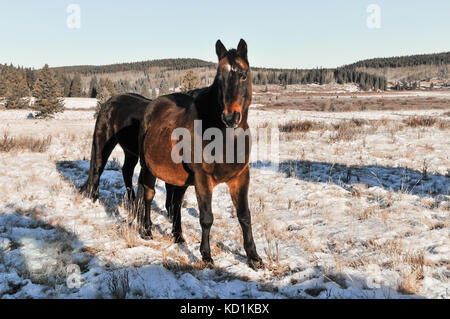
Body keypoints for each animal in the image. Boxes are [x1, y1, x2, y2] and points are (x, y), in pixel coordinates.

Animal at [137, 40, 264, 270]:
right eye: (219, 78)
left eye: (243, 75)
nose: (230, 117)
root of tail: (153, 105)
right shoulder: (203, 178)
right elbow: (206, 218)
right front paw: (206, 256)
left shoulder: (241, 177)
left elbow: (244, 216)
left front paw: (254, 257)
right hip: (147, 168)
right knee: (148, 196)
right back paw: (147, 231)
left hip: (179, 178)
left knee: (176, 204)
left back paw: (178, 236)